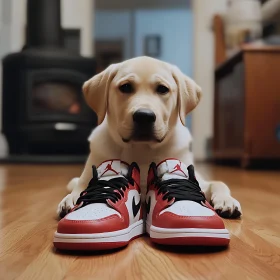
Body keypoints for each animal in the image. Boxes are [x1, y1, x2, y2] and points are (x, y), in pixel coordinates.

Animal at [57, 55, 241, 220]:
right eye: (125, 87)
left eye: (162, 89)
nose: (144, 116)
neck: (141, 150)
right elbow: (80, 187)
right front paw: (70, 199)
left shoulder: (198, 180)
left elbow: (219, 183)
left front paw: (227, 201)